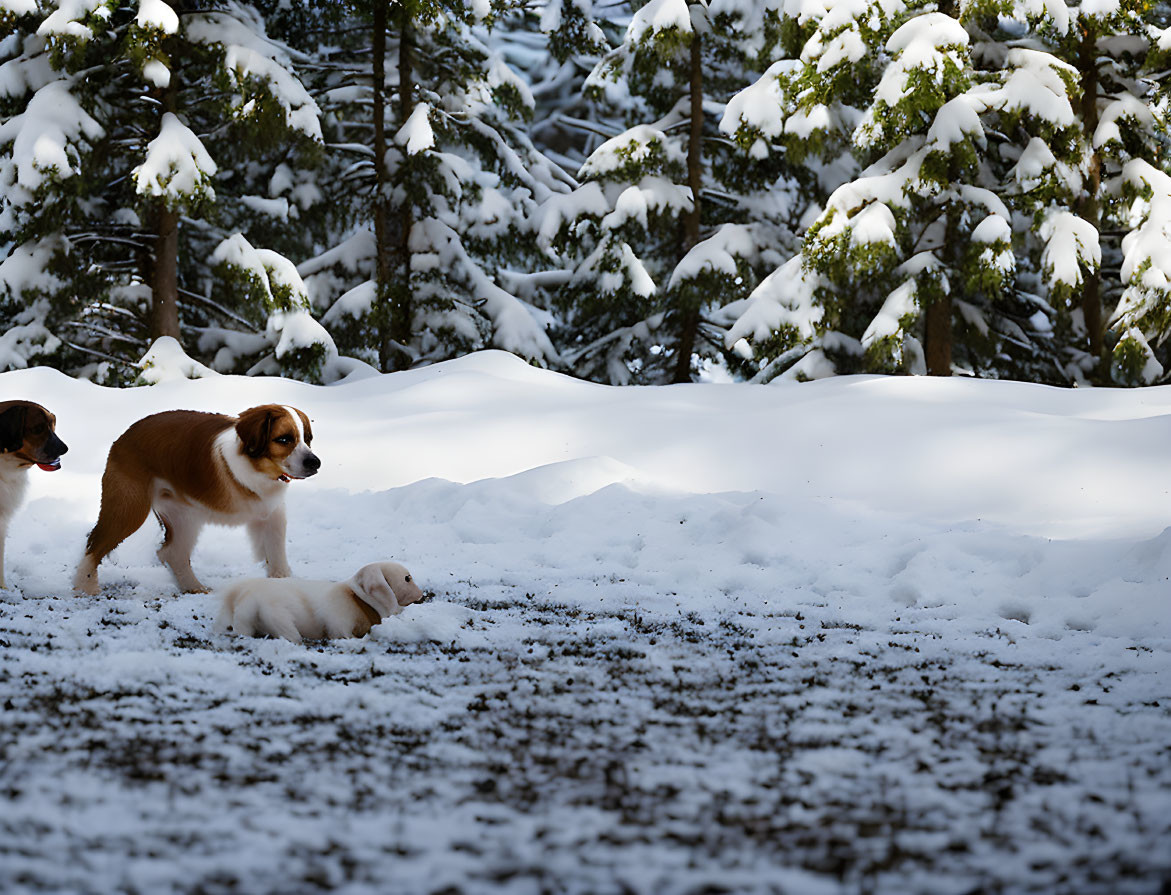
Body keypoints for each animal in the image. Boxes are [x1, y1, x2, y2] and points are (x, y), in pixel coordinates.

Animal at [74, 405, 320, 595]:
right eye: (284, 439)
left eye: (307, 439)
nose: (315, 463)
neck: (257, 468)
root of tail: (124, 436)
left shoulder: (272, 516)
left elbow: (277, 556)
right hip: (130, 509)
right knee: (94, 544)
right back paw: (84, 586)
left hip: (185, 516)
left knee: (172, 553)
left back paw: (193, 586)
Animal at [215, 559, 426, 641]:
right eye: (407, 578)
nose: (422, 594)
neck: (359, 601)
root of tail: (243, 597)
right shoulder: (338, 624)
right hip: (279, 617)